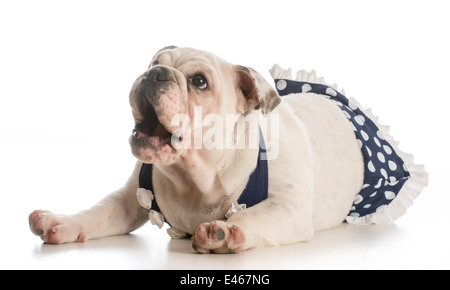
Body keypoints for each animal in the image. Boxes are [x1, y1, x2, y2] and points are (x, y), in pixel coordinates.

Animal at [29, 46, 428, 253]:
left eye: (199, 82)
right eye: (154, 61)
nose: (155, 73)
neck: (195, 176)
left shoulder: (289, 209)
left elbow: (252, 217)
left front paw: (224, 232)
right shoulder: (130, 199)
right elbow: (99, 212)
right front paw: (62, 222)